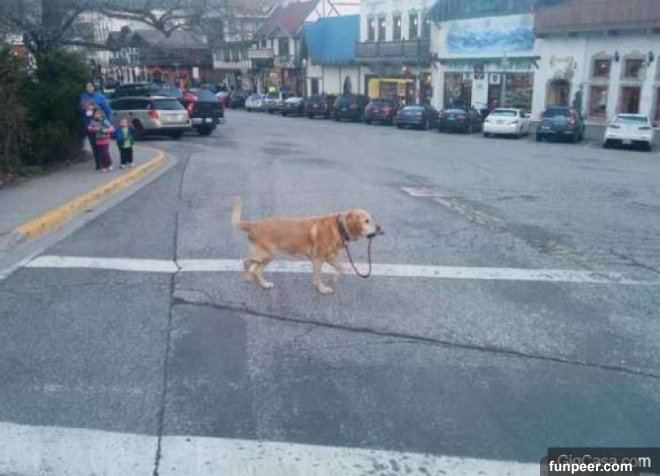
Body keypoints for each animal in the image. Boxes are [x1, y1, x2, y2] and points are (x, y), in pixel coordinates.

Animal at [231, 198, 382, 294]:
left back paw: (255, 280)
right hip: (267, 255)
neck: (339, 227)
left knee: (252, 266)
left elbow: (341, 268)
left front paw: (333, 278)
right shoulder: (318, 259)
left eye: (371, 219)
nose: (379, 228)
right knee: (250, 264)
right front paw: (322, 289)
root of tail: (253, 224)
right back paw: (256, 279)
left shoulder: (330, 257)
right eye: (366, 221)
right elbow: (317, 277)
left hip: (265, 256)